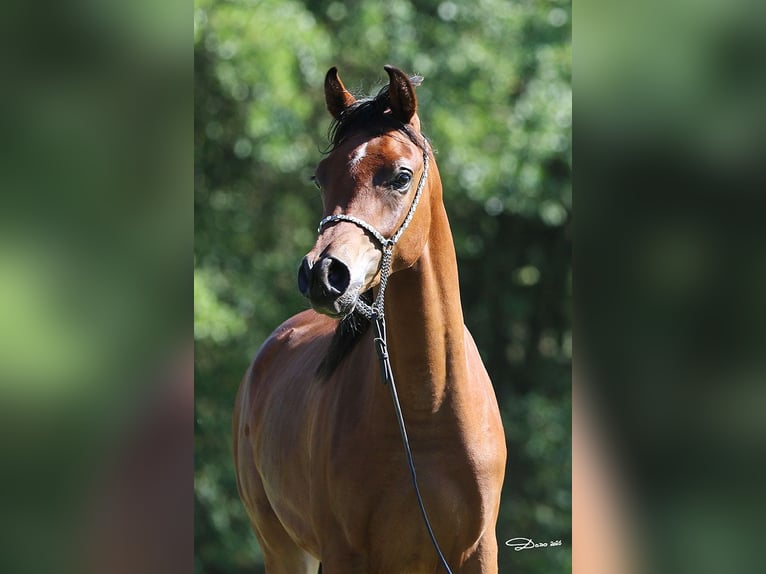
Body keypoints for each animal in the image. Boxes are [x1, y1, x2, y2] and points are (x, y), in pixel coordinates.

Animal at [233, 65, 506, 573]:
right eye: (320, 178)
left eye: (401, 176)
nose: (323, 273)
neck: (426, 411)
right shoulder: (346, 554)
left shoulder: (478, 551)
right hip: (281, 547)